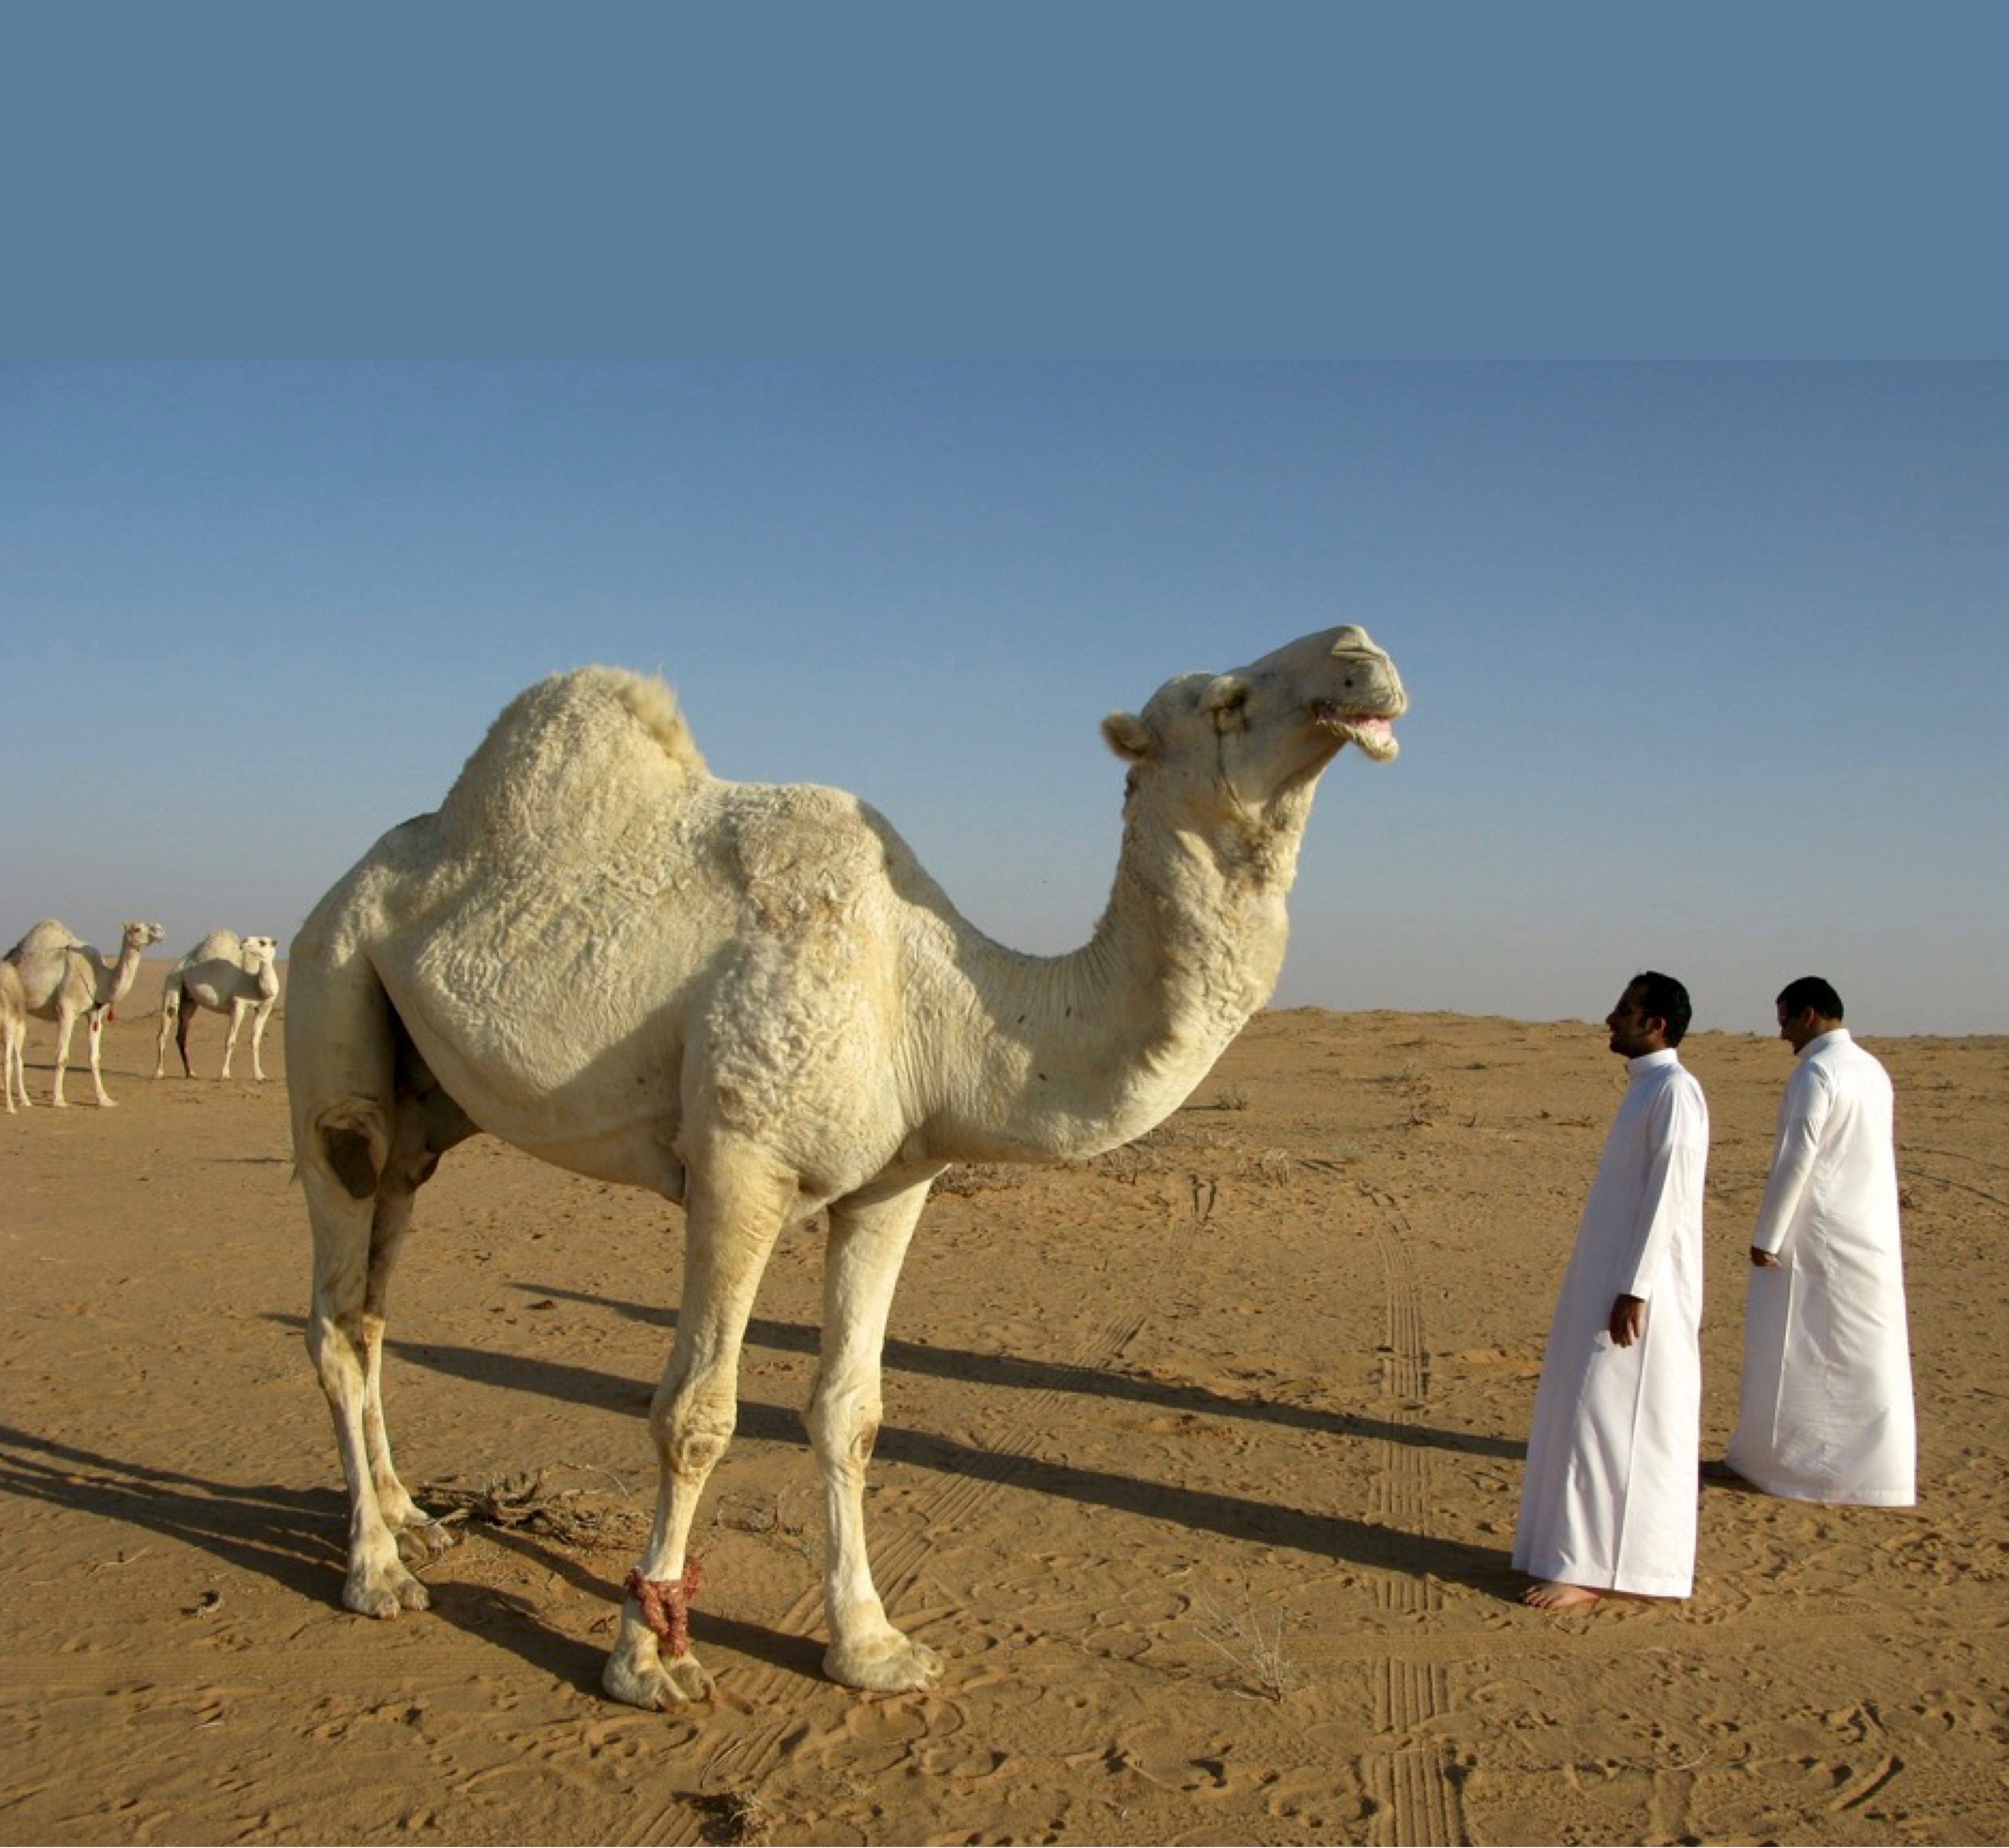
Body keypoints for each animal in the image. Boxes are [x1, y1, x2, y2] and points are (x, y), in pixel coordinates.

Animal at [5, 918, 165, 1107]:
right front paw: (59, 1100)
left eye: (154, 925)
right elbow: (62, 1056)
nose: (160, 931)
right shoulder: (66, 1010)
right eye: (137, 929)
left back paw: (20, 1098)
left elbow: (95, 1058)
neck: (100, 978)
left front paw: (105, 1099)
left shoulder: (95, 1015)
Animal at [154, 931, 282, 1081]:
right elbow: (231, 1040)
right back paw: (159, 1072)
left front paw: (260, 1075)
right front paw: (225, 1074)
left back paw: (191, 1073)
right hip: (172, 984)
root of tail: (178, 967)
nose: (245, 941)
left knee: (182, 1035)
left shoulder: (265, 1007)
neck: (255, 983)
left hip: (189, 1000)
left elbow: (256, 1040)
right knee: (164, 1030)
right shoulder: (238, 1004)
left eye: (263, 942)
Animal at [287, 625, 1407, 1710]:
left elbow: (851, 1412)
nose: (1363, 656)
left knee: (377, 1297)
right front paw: (649, 1659)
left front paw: (871, 1645)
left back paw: (411, 1514)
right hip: (331, 994)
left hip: (424, 1107)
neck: (937, 1003)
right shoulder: (738, 1165)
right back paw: (378, 1570)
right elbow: (695, 1416)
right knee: (337, 1304)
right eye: (1226, 700)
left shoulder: (894, 1185)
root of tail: (342, 885)